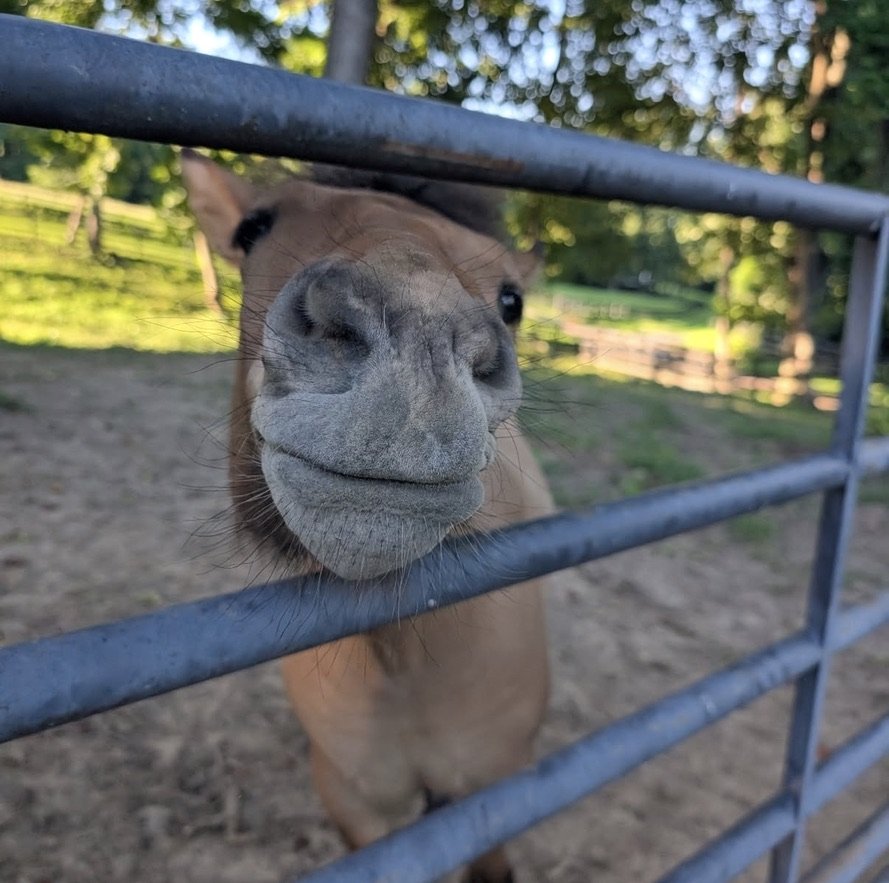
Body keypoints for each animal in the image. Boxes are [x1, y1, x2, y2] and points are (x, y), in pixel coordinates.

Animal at [181, 151, 552, 882]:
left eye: (512, 300)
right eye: (253, 228)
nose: (419, 351)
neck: (406, 663)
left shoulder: (493, 794)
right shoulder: (358, 806)